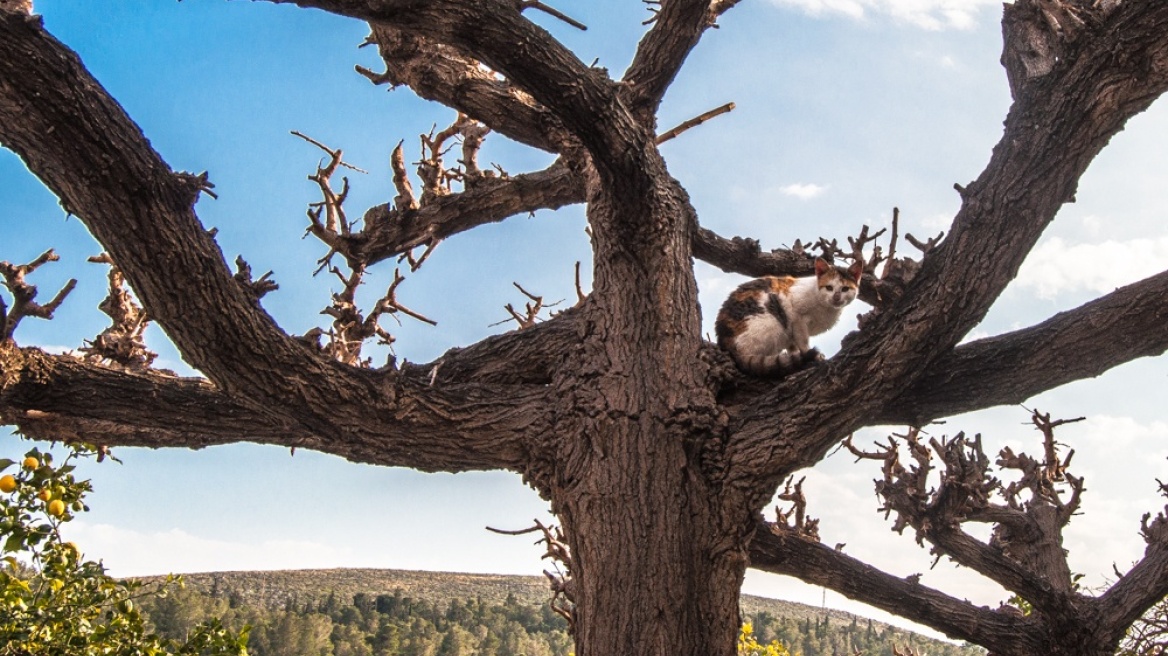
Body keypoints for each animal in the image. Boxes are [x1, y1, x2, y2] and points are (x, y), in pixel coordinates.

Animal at [714, 257, 864, 375]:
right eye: (829, 287)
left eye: (845, 289)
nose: (836, 297)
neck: (827, 308)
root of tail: (726, 341)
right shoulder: (797, 318)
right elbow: (803, 342)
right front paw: (811, 355)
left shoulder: (791, 335)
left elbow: (793, 346)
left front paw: (796, 356)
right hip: (772, 324)